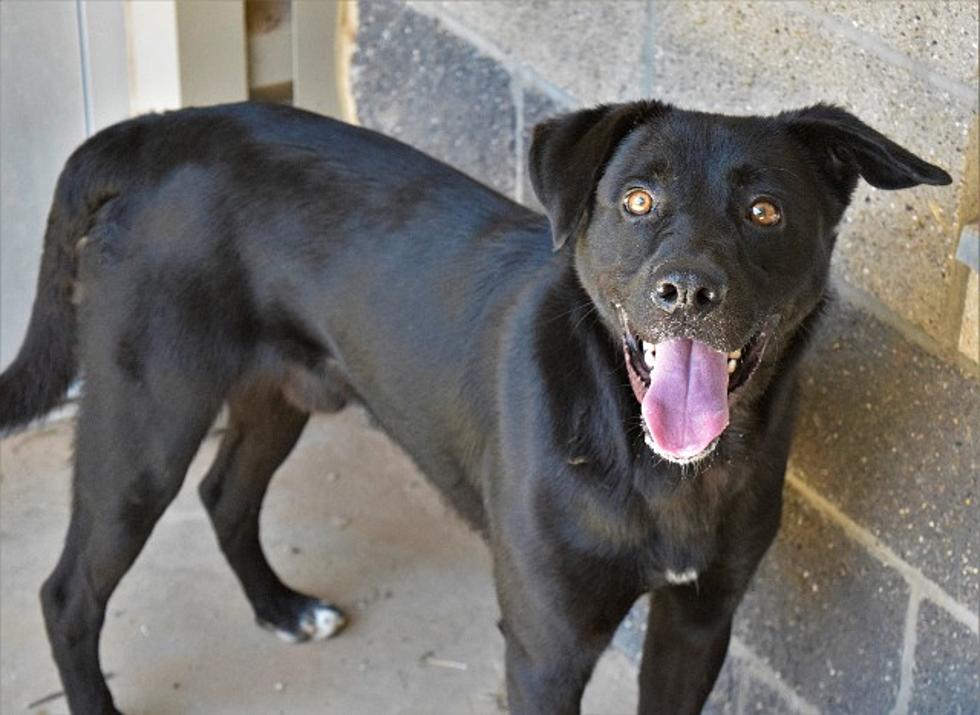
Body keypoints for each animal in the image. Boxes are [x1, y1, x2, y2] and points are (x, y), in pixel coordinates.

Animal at [0, 98, 948, 712]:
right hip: (146, 419)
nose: (686, 291)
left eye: (765, 210)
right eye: (638, 200)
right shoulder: (546, 646)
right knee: (66, 593)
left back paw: (281, 608)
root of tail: (161, 128)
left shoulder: (698, 623)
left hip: (282, 389)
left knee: (225, 491)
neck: (655, 461)